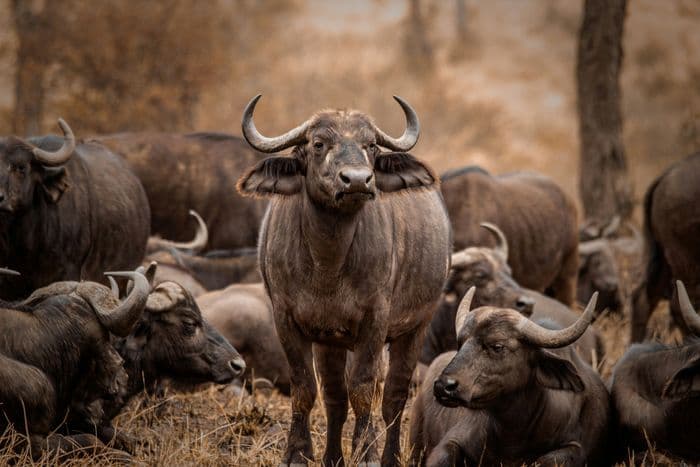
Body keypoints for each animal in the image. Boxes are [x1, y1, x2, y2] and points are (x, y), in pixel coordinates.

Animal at [237, 95, 450, 466]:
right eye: (318, 144)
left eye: (370, 145)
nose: (357, 181)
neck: (328, 264)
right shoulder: (286, 319)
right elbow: (305, 388)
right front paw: (298, 452)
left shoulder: (375, 321)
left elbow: (363, 390)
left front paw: (366, 453)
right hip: (330, 342)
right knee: (335, 397)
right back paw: (332, 457)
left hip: (415, 327)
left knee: (393, 398)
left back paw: (389, 455)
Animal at [410, 288, 609, 466]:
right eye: (461, 343)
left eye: (497, 346)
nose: (443, 386)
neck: (513, 434)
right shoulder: (451, 441)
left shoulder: (575, 447)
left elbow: (548, 459)